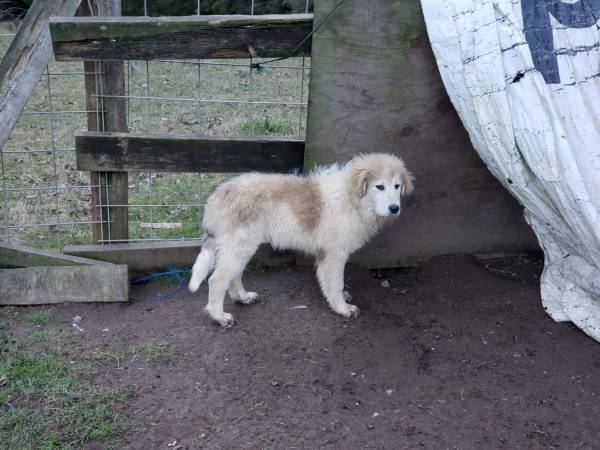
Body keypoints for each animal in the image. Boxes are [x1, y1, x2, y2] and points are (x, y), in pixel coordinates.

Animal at [190, 153, 414, 326]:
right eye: (380, 187)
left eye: (397, 186)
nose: (395, 208)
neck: (353, 199)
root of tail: (218, 193)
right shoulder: (333, 254)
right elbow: (336, 283)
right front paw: (342, 308)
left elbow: (336, 284)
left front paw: (342, 300)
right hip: (239, 245)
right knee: (217, 280)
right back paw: (219, 317)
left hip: (241, 246)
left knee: (233, 275)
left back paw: (243, 297)